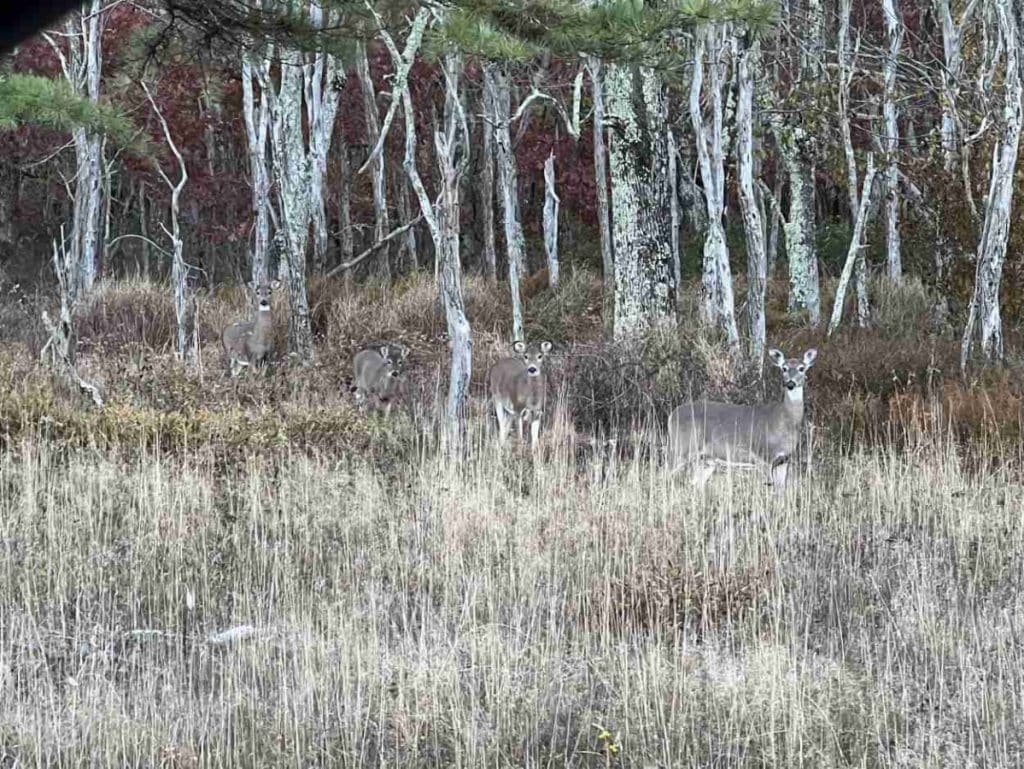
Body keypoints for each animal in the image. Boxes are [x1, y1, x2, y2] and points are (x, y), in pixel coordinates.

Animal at [667, 348, 817, 491]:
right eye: (784, 368)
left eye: (801, 368)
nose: (790, 383)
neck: (785, 420)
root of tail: (671, 415)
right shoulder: (762, 456)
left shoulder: (784, 459)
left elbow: (781, 491)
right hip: (680, 447)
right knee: (666, 474)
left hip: (706, 460)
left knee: (695, 484)